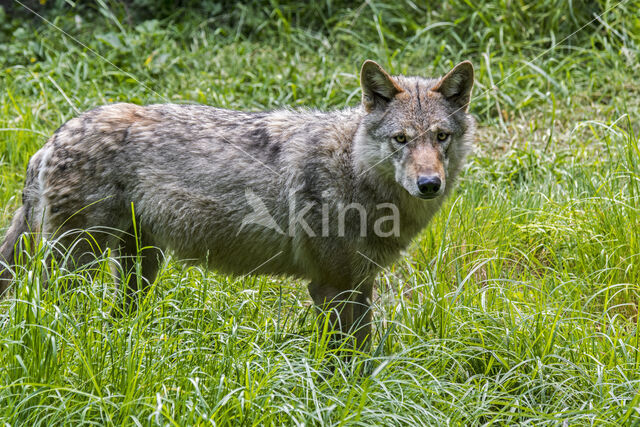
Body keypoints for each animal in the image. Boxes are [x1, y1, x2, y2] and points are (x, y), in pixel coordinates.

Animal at [0, 60, 470, 348]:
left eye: (440, 137)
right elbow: (341, 358)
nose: (429, 184)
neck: (352, 169)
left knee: (121, 315)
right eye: (401, 139)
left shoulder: (360, 284)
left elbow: (364, 351)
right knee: (42, 306)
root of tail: (50, 140)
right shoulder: (329, 286)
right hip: (76, 264)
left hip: (141, 266)